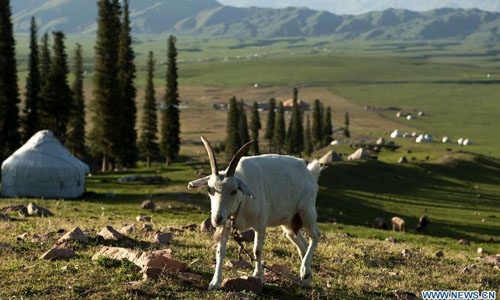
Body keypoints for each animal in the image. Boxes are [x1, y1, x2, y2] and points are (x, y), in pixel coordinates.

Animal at [187, 137, 320, 290]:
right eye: (209, 189)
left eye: (234, 190)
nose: (217, 219)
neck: (242, 201)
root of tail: (309, 172)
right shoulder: (226, 224)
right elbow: (220, 250)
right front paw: (215, 282)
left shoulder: (260, 224)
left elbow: (257, 250)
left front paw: (258, 275)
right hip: (289, 223)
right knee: (303, 245)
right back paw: (306, 278)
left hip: (307, 211)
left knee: (315, 236)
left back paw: (305, 271)